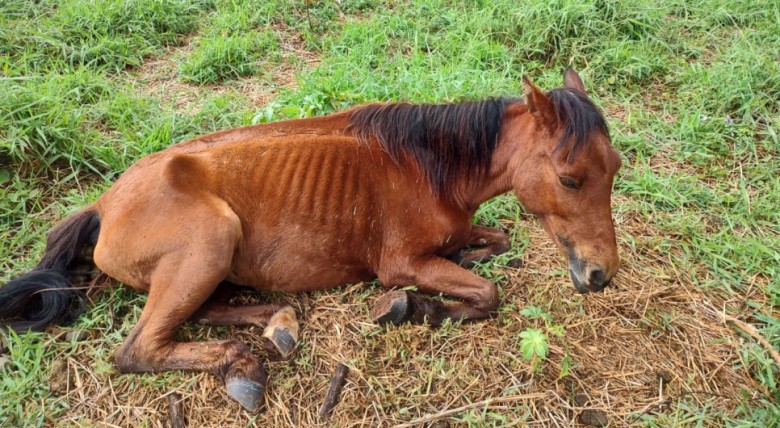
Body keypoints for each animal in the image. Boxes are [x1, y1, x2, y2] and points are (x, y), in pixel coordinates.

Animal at [0, 67, 620, 412]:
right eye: (569, 179)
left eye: (615, 168)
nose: (600, 274)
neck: (429, 165)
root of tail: (103, 206)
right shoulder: (402, 262)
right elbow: (487, 293)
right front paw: (414, 308)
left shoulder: (457, 232)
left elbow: (498, 241)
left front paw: (444, 284)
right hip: (210, 242)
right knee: (139, 349)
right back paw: (242, 367)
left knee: (208, 310)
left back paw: (277, 324)